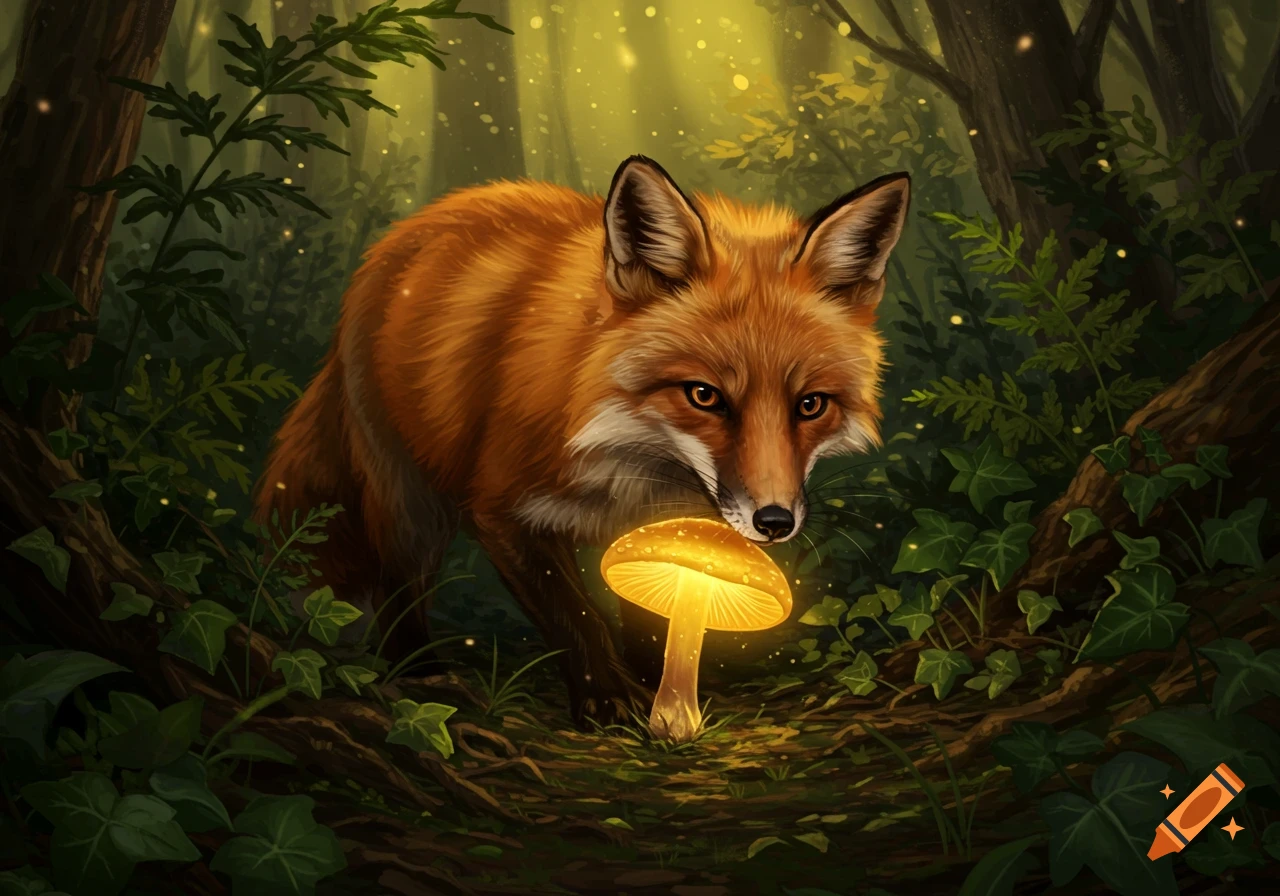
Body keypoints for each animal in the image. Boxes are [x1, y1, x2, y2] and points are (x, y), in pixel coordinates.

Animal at [255, 155, 910, 725]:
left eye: (811, 405)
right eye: (704, 396)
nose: (774, 522)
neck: (629, 457)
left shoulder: (661, 528)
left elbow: (649, 616)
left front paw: (654, 690)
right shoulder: (501, 510)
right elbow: (576, 615)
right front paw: (608, 699)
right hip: (408, 497)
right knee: (399, 585)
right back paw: (417, 673)